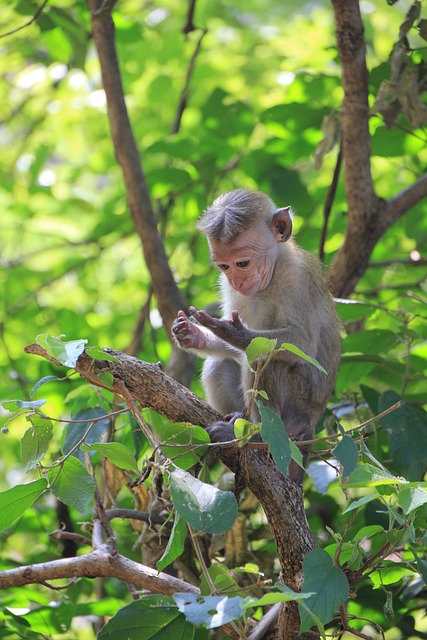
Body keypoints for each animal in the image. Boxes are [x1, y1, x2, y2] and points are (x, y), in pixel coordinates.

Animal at [172, 188, 342, 482]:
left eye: (243, 262)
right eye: (224, 267)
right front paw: (192, 334)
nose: (237, 281)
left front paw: (232, 331)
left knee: (267, 361)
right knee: (219, 365)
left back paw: (256, 439)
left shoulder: (297, 278)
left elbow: (302, 343)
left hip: (298, 410)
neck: (273, 272)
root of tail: (309, 427)